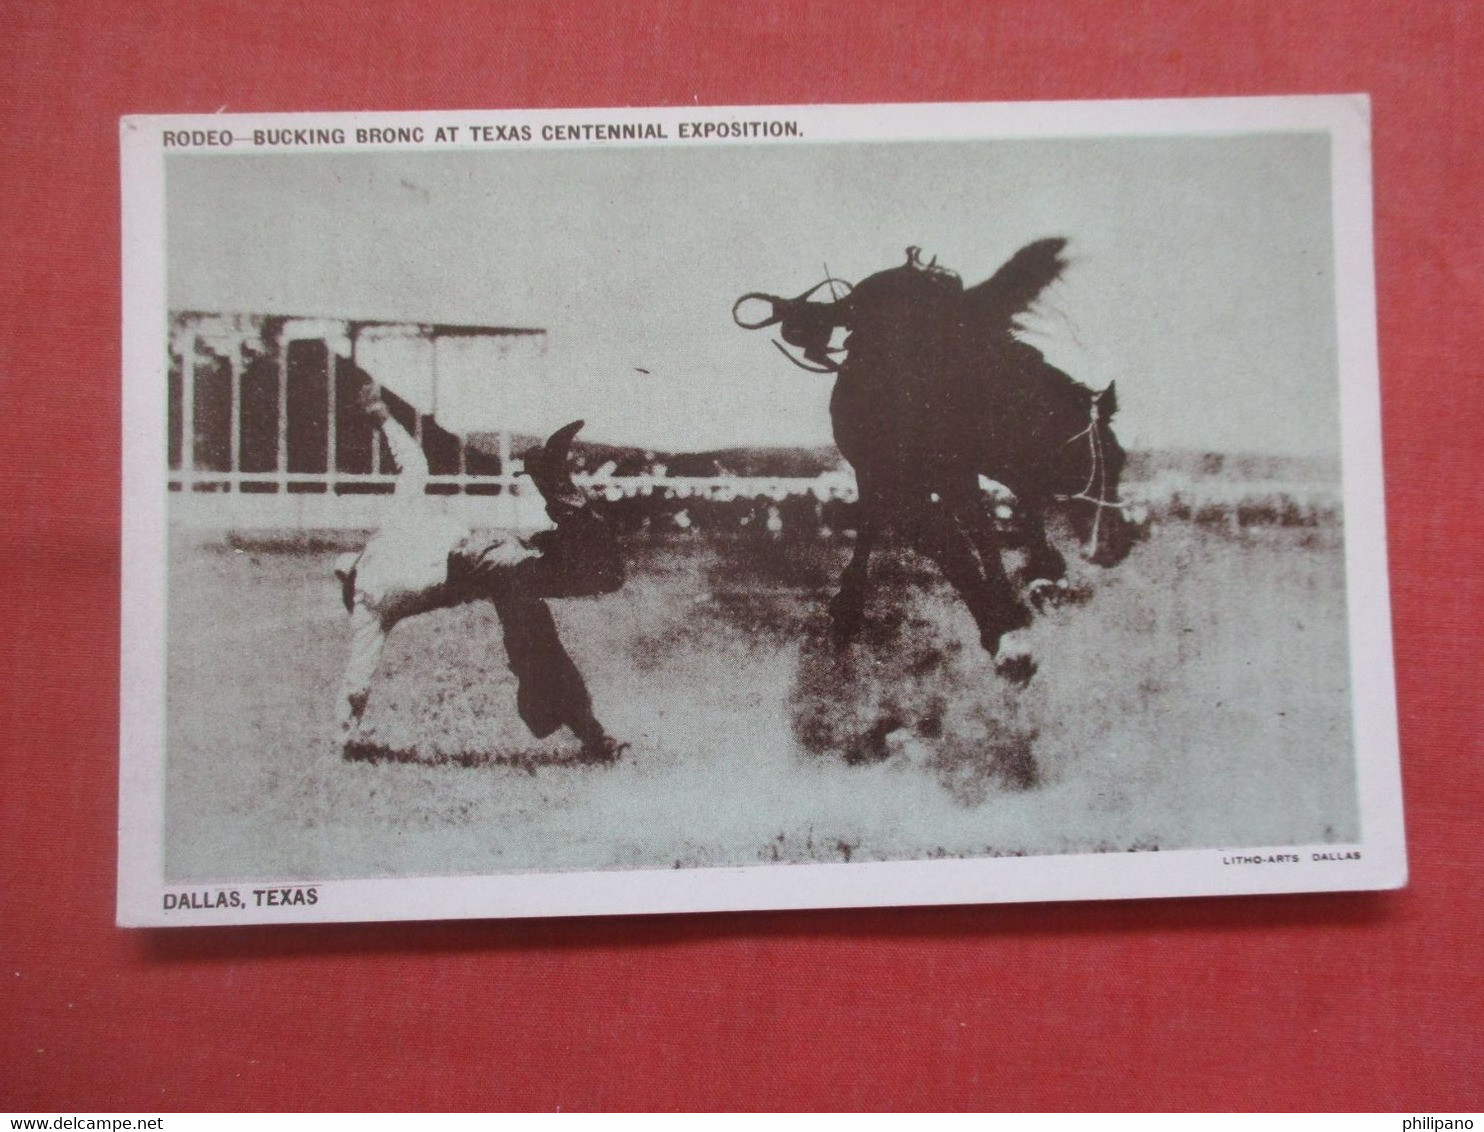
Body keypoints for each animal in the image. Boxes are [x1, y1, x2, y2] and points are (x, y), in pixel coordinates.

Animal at [733, 238, 1133, 682]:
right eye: (1103, 459)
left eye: (1120, 459)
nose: (1118, 544)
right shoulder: (899, 478)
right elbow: (948, 540)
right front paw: (1005, 629)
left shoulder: (962, 473)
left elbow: (982, 529)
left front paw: (1027, 598)